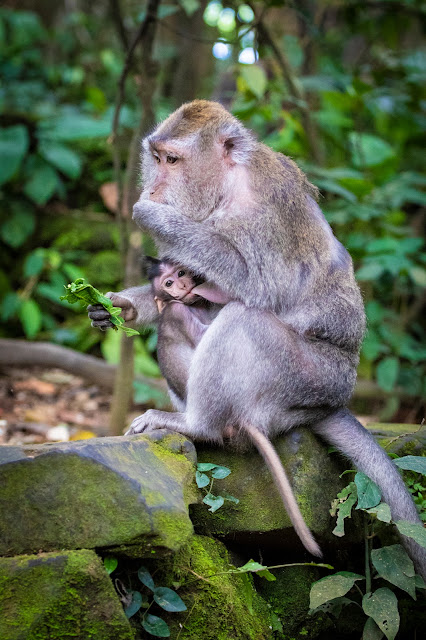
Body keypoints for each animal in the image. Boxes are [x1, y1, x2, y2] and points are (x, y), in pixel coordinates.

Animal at [93, 101, 426, 576]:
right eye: (155, 158)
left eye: (172, 161)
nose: (153, 188)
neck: (226, 187)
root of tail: (332, 401)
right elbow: (175, 293)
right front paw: (122, 307)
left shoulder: (266, 214)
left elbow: (255, 284)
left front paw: (155, 217)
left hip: (308, 378)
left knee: (243, 319)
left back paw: (197, 425)